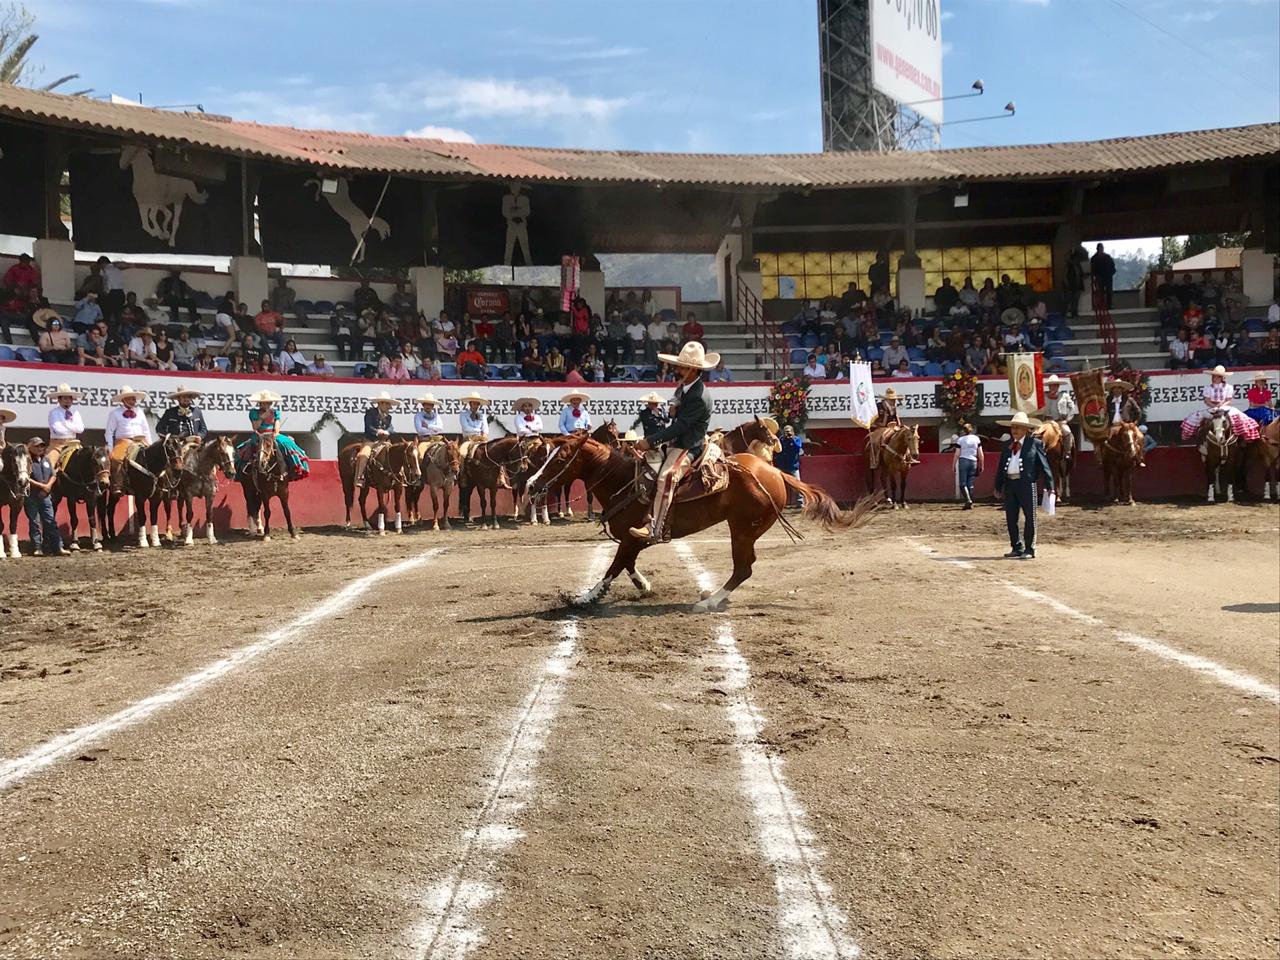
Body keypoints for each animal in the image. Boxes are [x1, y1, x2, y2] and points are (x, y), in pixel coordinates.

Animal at [522, 435, 880, 611]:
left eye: (561, 457)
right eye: (545, 455)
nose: (530, 485)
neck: (624, 480)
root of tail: (775, 472)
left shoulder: (633, 536)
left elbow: (614, 566)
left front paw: (585, 598)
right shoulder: (633, 537)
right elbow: (627, 564)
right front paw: (644, 585)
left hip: (742, 529)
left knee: (743, 568)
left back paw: (709, 600)